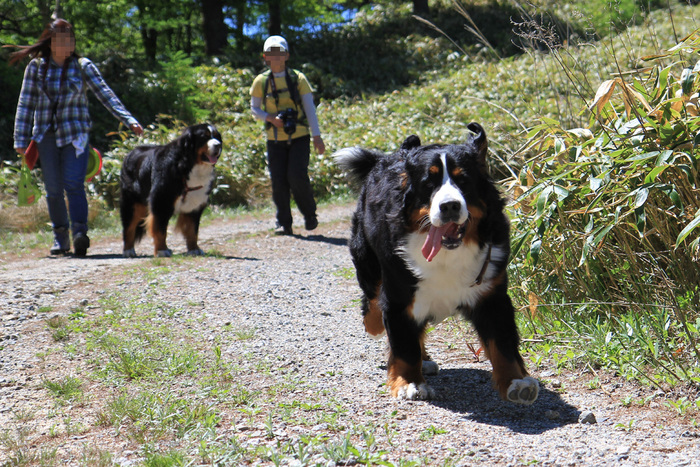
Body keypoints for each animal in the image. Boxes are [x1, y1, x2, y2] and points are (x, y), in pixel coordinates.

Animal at [117, 122, 221, 258]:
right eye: (204, 136)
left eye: (217, 137)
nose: (218, 145)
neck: (188, 165)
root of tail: (131, 152)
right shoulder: (161, 201)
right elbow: (160, 230)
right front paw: (162, 250)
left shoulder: (194, 204)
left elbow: (192, 230)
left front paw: (194, 249)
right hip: (132, 203)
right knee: (129, 227)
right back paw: (128, 250)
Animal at [336, 124, 540, 406]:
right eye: (428, 183)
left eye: (463, 180)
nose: (450, 205)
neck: (446, 255)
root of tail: (385, 159)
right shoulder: (400, 297)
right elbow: (403, 345)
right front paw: (409, 382)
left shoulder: (491, 296)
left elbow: (502, 343)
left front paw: (516, 382)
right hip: (368, 264)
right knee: (373, 307)